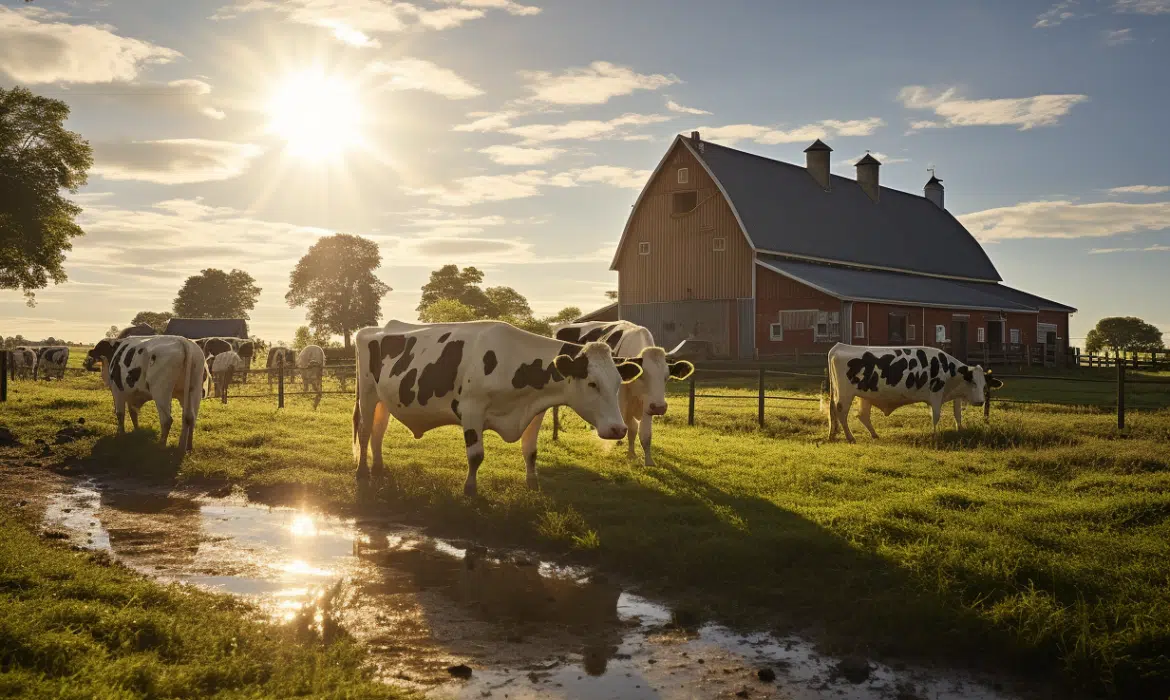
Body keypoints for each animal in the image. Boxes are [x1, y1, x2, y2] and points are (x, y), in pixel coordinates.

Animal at [353, 320, 645, 496]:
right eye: (592, 383)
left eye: (618, 382)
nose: (618, 429)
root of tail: (372, 329)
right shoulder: (471, 409)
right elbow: (476, 455)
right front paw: (470, 490)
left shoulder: (535, 412)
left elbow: (531, 452)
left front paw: (532, 483)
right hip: (366, 394)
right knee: (365, 430)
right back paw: (362, 472)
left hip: (384, 401)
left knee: (378, 432)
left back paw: (378, 468)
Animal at [531, 323, 692, 465]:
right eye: (643, 375)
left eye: (666, 377)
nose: (660, 407)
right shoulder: (622, 402)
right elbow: (631, 427)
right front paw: (629, 452)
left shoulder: (648, 404)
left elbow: (645, 434)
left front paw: (647, 460)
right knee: (555, 409)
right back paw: (555, 433)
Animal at [823, 341, 1006, 444]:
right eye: (973, 382)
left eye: (984, 385)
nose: (980, 402)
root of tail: (839, 347)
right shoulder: (936, 394)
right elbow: (936, 415)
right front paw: (935, 434)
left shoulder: (955, 396)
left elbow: (957, 414)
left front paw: (960, 430)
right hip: (846, 394)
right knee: (841, 413)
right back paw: (850, 437)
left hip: (864, 395)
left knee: (861, 415)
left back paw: (872, 435)